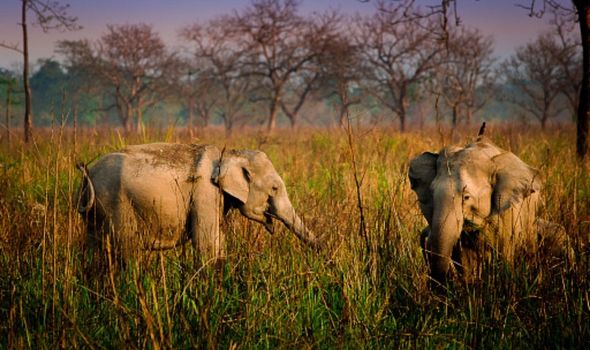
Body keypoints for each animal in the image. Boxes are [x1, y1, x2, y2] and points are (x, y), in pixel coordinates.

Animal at [76, 142, 322, 262]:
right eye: (274, 188)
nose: (323, 252)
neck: (229, 153)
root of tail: (89, 175)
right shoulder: (205, 192)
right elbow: (207, 244)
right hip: (115, 203)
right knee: (126, 250)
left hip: (96, 212)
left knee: (93, 252)